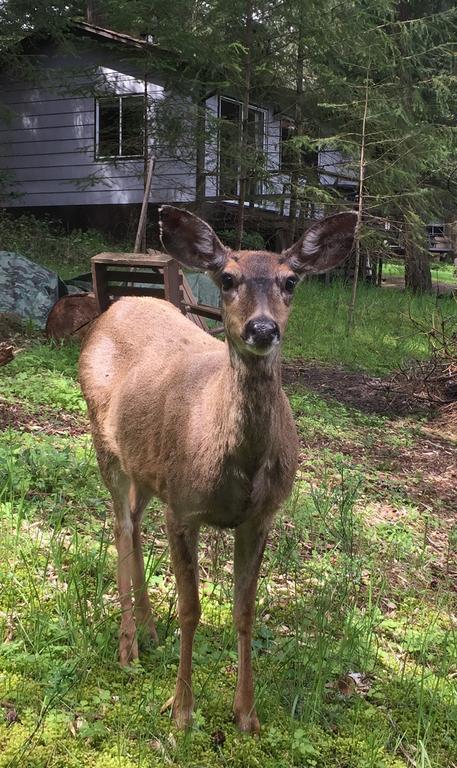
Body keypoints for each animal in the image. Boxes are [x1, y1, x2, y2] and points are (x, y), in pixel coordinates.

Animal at [79, 207, 356, 736]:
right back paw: (128, 647)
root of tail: (118, 306)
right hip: (105, 445)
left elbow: (244, 610)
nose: (262, 329)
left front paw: (246, 713)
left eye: (291, 281)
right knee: (120, 526)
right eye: (227, 278)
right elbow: (191, 609)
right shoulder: (184, 508)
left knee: (135, 522)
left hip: (148, 468)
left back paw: (150, 631)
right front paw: (181, 712)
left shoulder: (260, 517)